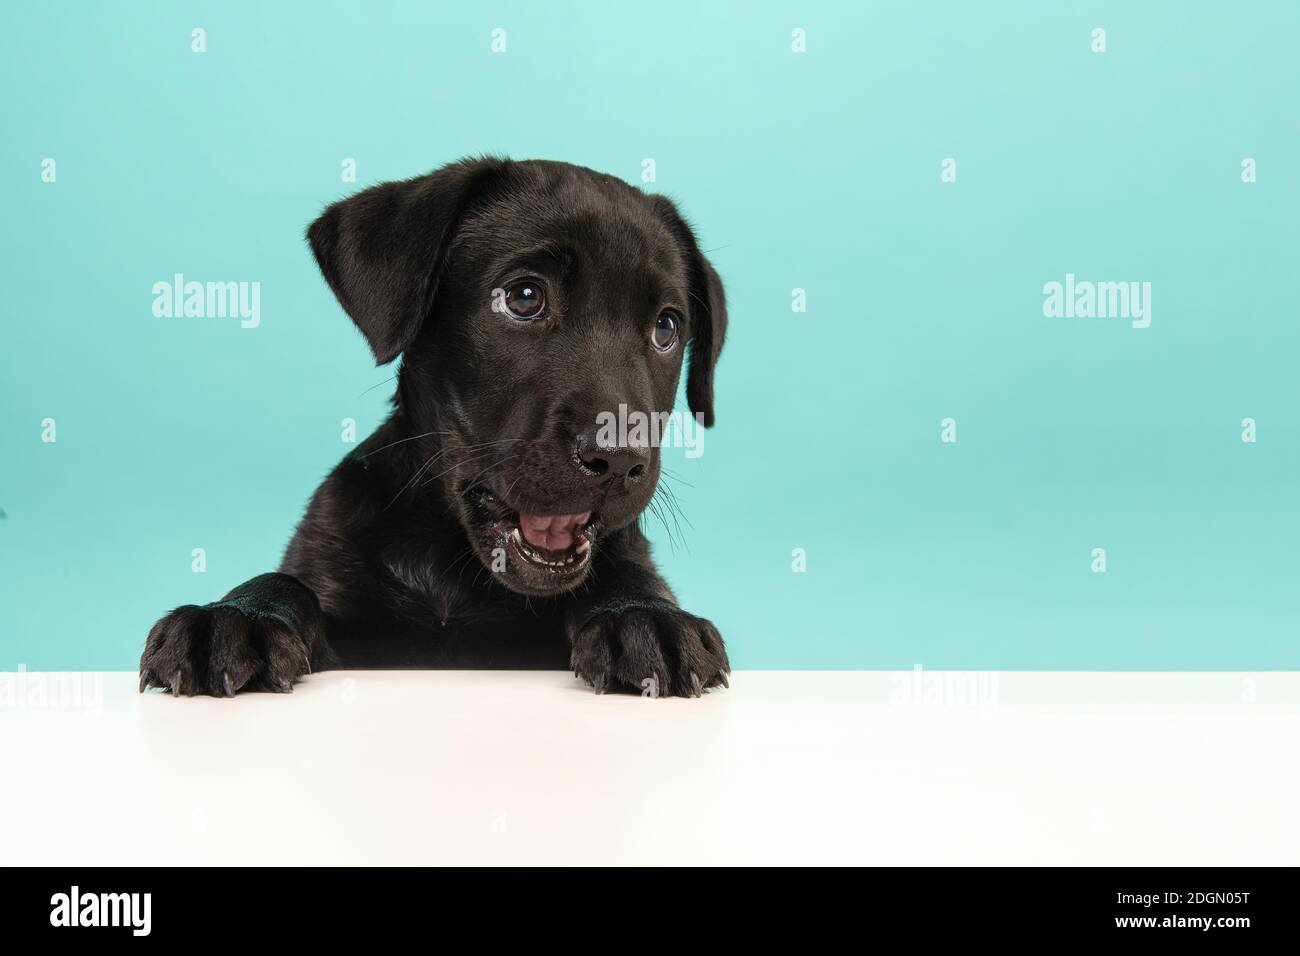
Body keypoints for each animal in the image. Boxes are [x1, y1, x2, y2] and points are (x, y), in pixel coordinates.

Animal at [144, 158, 733, 702]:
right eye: (524, 297)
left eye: (666, 328)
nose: (619, 460)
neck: (456, 570)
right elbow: (286, 583)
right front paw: (237, 614)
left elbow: (628, 577)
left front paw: (642, 615)